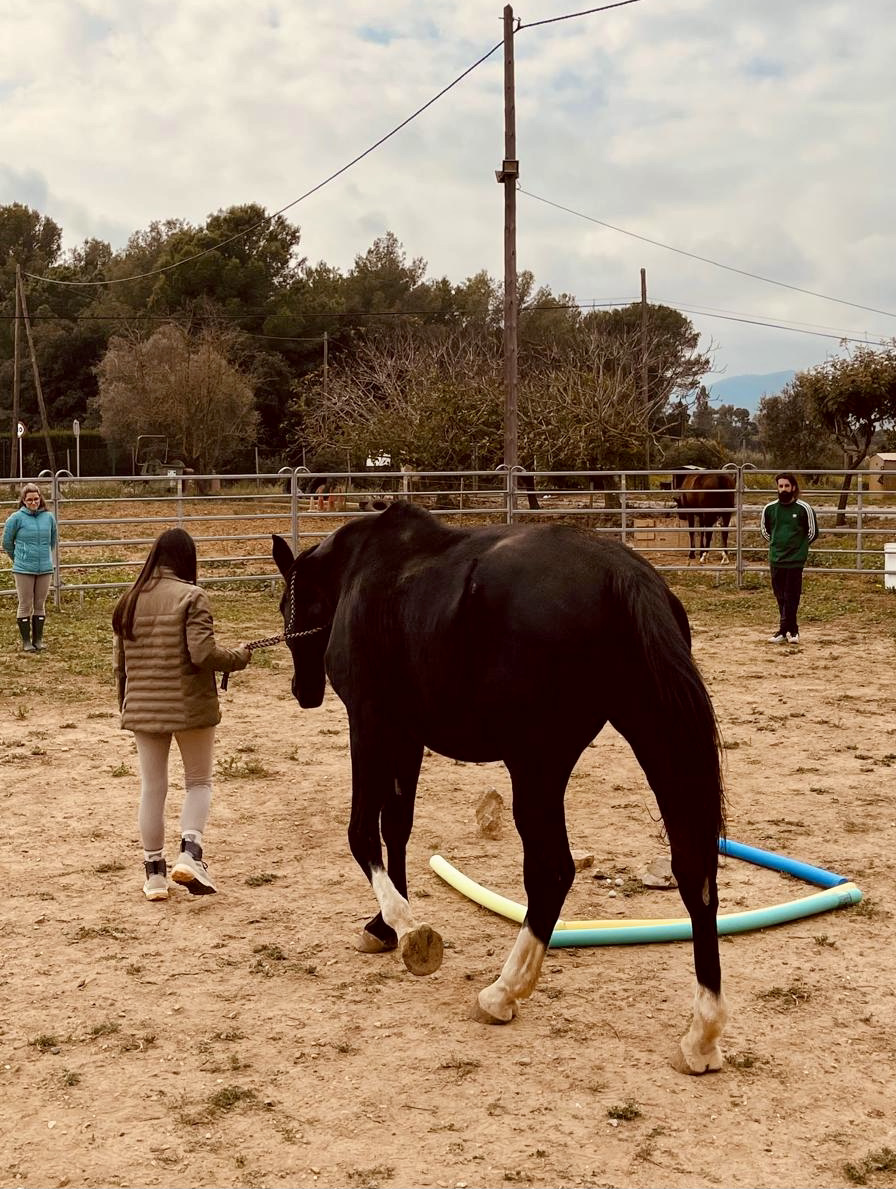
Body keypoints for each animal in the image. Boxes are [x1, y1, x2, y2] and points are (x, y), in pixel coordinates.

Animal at [272, 502, 728, 1073]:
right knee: (695, 872)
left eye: (284, 604)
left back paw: (503, 992)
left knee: (552, 871)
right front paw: (385, 926)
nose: (303, 691)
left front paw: (405, 925)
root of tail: (623, 576)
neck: (366, 567)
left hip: (536, 765)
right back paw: (702, 1035)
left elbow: (362, 832)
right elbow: (396, 827)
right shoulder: (407, 736)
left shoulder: (370, 725)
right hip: (653, 737)